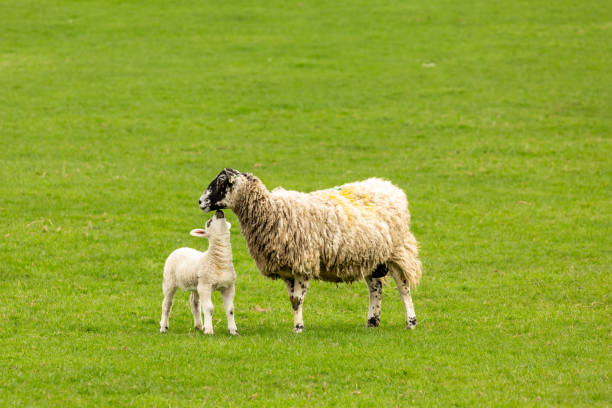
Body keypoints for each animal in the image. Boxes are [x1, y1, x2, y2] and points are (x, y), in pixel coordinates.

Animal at [198, 168, 424, 332]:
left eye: (221, 181)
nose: (200, 202)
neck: (272, 211)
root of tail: (390, 187)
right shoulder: (286, 269)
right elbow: (292, 300)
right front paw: (297, 325)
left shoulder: (303, 263)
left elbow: (297, 299)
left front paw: (298, 328)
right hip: (371, 257)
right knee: (375, 288)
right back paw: (372, 322)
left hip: (397, 252)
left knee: (403, 287)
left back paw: (410, 322)